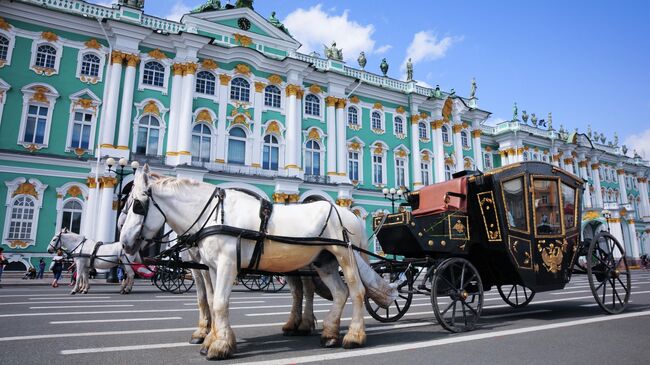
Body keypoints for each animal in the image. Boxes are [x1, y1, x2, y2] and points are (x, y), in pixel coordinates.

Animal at [118, 166, 392, 360]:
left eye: (137, 206)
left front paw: (218, 345)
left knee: (356, 291)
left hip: (344, 256)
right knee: (336, 292)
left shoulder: (227, 264)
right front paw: (211, 339)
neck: (213, 215)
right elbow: (209, 299)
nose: (124, 243)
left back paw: (353, 337)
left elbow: (218, 302)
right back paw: (328, 333)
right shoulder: (210, 266)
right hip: (323, 262)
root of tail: (350, 215)